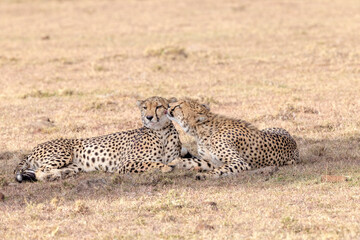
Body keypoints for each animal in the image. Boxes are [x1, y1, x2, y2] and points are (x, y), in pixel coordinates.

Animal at [13, 95, 186, 182]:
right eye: (145, 107)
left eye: (158, 106)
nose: (149, 117)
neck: (161, 133)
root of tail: (34, 147)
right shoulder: (125, 164)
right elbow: (152, 163)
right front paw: (165, 167)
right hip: (63, 154)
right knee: (40, 171)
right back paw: (52, 176)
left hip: (75, 166)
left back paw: (61, 174)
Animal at [167, 98, 300, 179]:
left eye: (178, 106)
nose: (168, 105)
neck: (201, 132)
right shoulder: (211, 161)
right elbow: (192, 161)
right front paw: (174, 162)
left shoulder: (239, 162)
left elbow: (219, 169)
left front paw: (205, 175)